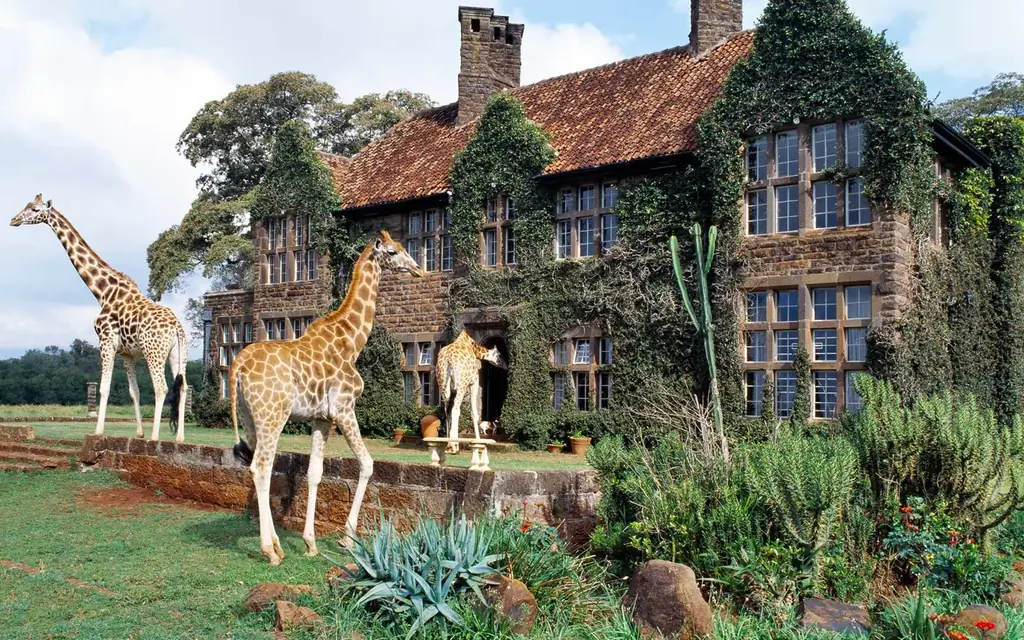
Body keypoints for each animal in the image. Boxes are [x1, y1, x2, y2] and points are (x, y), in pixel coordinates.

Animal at [10, 195, 189, 441]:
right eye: (26, 206)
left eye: (35, 210)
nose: (13, 220)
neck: (102, 291)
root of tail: (176, 327)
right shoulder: (127, 354)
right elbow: (134, 392)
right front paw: (138, 433)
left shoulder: (105, 341)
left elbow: (104, 388)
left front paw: (98, 431)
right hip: (177, 355)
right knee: (183, 387)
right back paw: (180, 437)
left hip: (154, 352)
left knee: (161, 387)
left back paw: (155, 437)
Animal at [229, 230, 422, 566]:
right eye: (394, 252)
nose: (418, 269)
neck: (352, 341)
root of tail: (238, 366)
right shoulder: (344, 408)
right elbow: (367, 464)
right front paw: (348, 538)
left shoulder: (320, 418)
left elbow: (314, 473)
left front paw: (310, 543)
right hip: (272, 416)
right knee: (261, 468)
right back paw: (270, 551)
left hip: (250, 419)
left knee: (258, 466)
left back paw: (278, 545)